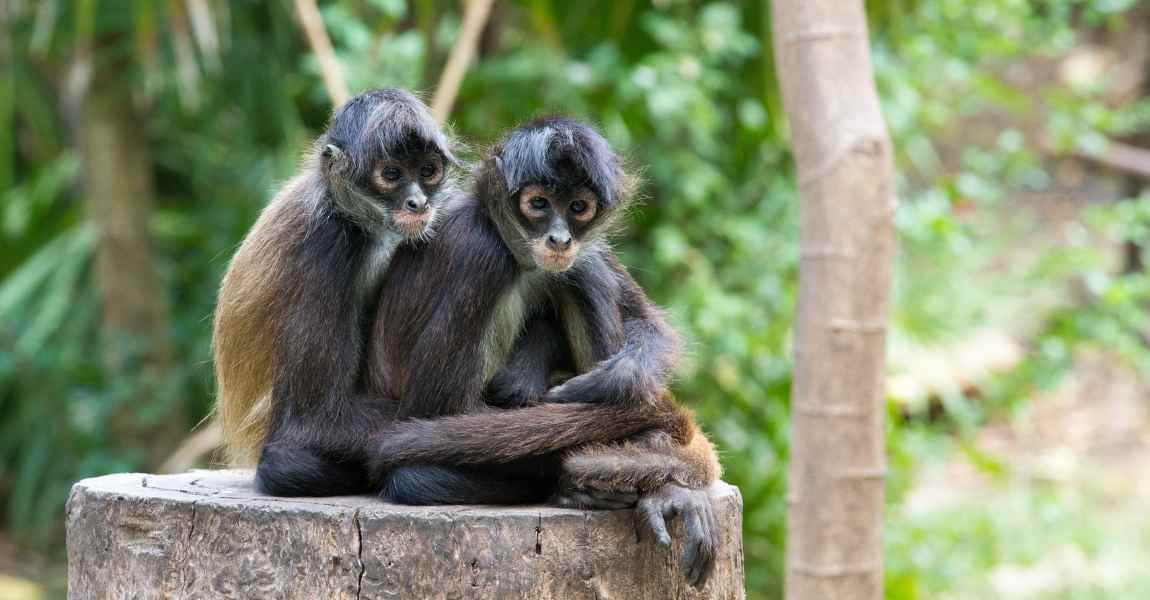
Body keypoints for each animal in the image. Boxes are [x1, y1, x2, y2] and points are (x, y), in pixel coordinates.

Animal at [213, 86, 455, 491]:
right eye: (392, 174)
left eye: (427, 171)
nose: (418, 202)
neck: (339, 206)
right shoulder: (328, 242)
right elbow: (311, 420)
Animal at [361, 117, 717, 583]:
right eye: (538, 203)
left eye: (579, 207)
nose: (559, 238)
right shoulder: (482, 253)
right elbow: (434, 410)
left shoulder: (583, 246)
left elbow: (650, 325)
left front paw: (611, 384)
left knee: (583, 270)